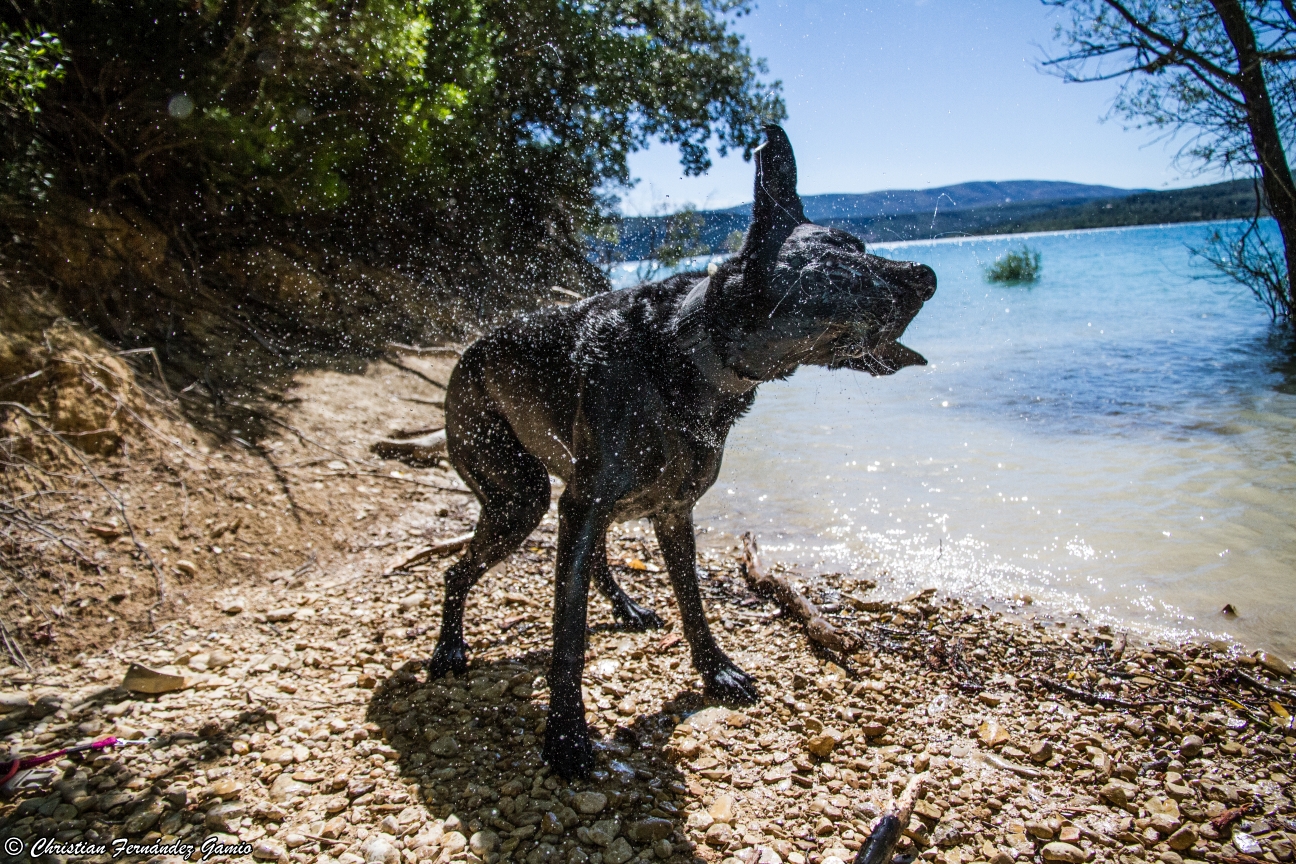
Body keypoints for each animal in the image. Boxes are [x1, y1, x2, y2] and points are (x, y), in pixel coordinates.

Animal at [430, 125, 938, 782]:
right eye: (843, 258)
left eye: (861, 243)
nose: (928, 274)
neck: (685, 350)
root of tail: (465, 353)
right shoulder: (589, 506)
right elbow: (569, 635)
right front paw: (565, 736)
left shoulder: (672, 513)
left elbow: (692, 602)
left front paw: (715, 670)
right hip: (520, 498)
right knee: (457, 570)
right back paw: (448, 647)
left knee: (592, 557)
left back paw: (624, 606)